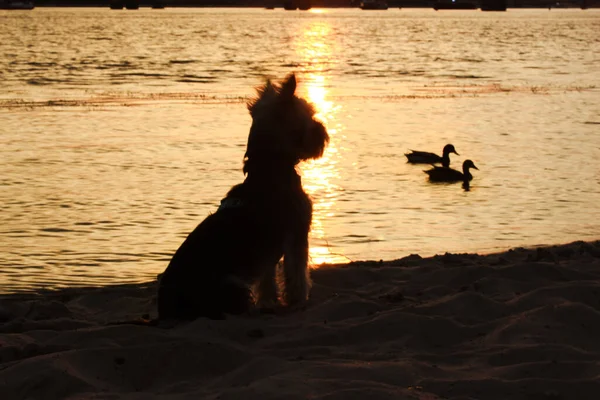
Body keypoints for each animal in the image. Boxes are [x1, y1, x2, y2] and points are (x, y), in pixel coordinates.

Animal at [156, 74, 328, 318]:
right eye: (309, 115)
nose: (322, 131)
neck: (269, 168)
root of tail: (166, 309)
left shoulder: (267, 256)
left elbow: (267, 280)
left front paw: (269, 302)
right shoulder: (297, 234)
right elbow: (297, 273)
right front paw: (299, 300)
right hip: (231, 283)